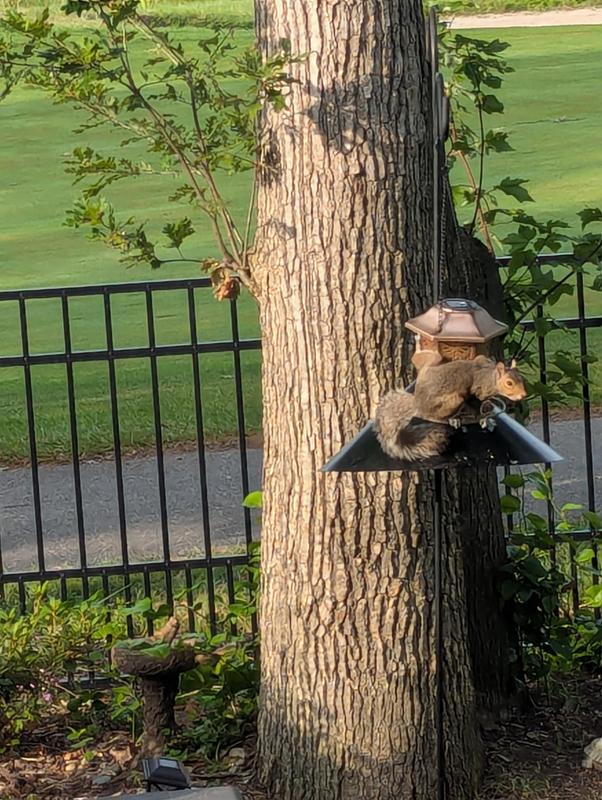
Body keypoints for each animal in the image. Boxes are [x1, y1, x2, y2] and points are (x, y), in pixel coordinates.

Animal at [375, 355, 527, 462]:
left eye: (522, 378)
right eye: (509, 383)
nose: (523, 395)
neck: (490, 376)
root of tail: (417, 404)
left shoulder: (482, 359)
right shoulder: (478, 391)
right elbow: (477, 406)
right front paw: (484, 419)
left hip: (433, 363)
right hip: (455, 400)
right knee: (432, 417)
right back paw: (453, 420)